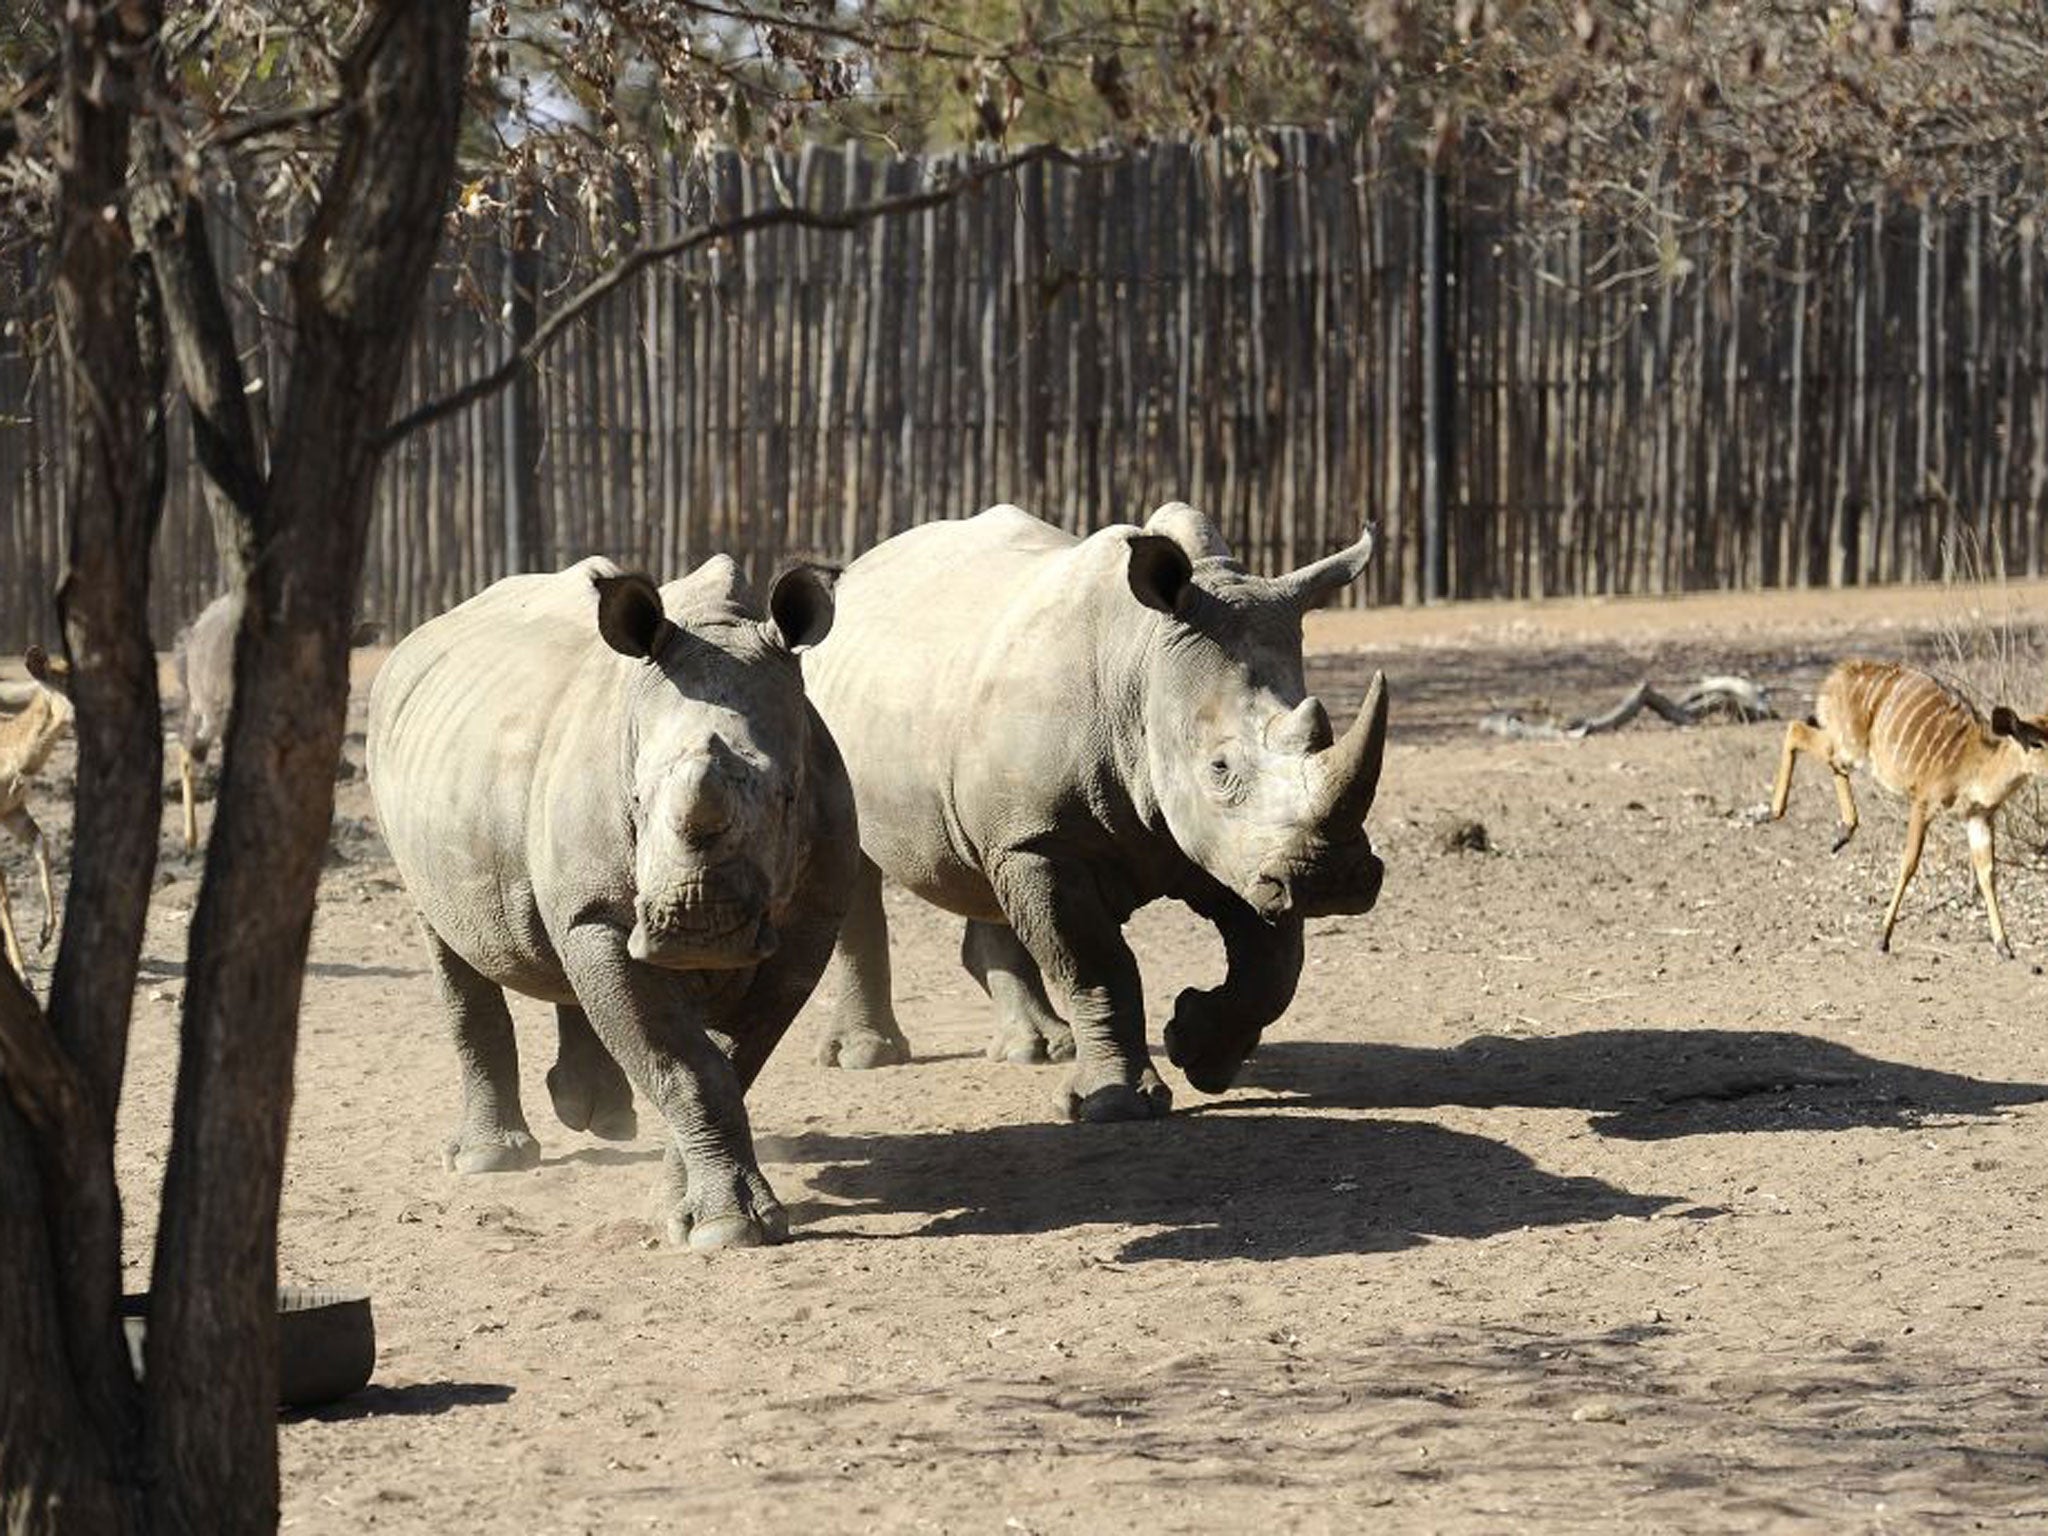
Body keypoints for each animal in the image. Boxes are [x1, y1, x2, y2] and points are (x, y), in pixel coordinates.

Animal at [364, 557, 851, 1253]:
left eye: (788, 796)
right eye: (637, 801)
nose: (697, 927)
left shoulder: (811, 921)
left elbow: (727, 1061)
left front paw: (688, 1211)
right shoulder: (598, 912)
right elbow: (686, 1066)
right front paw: (724, 1226)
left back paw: (599, 1117)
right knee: (448, 936)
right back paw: (489, 1160)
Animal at [798, 505, 1392, 1122]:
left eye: (1321, 739)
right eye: (1220, 767)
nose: (1333, 879)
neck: (1143, 666)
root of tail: (861, 570)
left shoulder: (1239, 848)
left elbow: (1273, 966)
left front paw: (1198, 1049)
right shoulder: (1044, 839)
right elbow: (1095, 963)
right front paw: (1117, 1105)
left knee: (988, 872)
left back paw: (1040, 1049)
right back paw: (865, 1057)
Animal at [1769, 663, 2048, 962]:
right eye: (2036, 743)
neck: (1977, 766)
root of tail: (1836, 675)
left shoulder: (1979, 817)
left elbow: (1988, 873)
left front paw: (2004, 946)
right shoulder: (1922, 802)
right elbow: (1909, 864)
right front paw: (1883, 937)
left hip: (1848, 749)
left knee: (1829, 758)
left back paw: (1843, 831)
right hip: (1849, 745)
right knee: (1797, 730)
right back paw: (1773, 813)